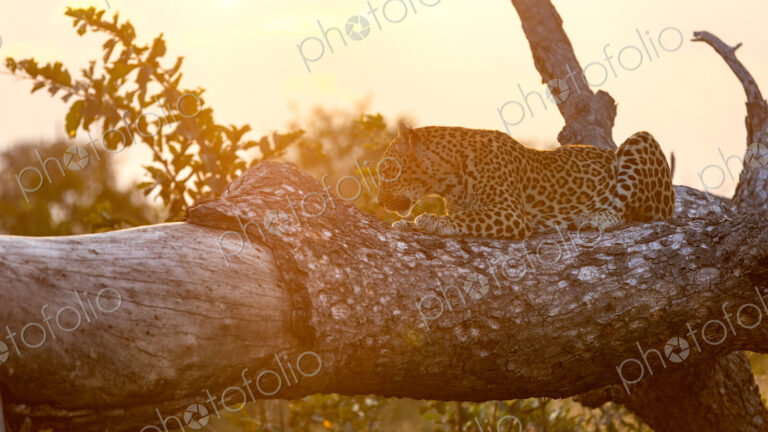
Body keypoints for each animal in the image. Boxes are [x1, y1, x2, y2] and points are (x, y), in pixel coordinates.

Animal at [376, 123, 675, 240]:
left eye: (387, 170)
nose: (379, 201)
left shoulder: (510, 212)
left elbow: (468, 217)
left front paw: (433, 220)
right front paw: (404, 224)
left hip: (641, 140)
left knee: (626, 210)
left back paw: (594, 218)